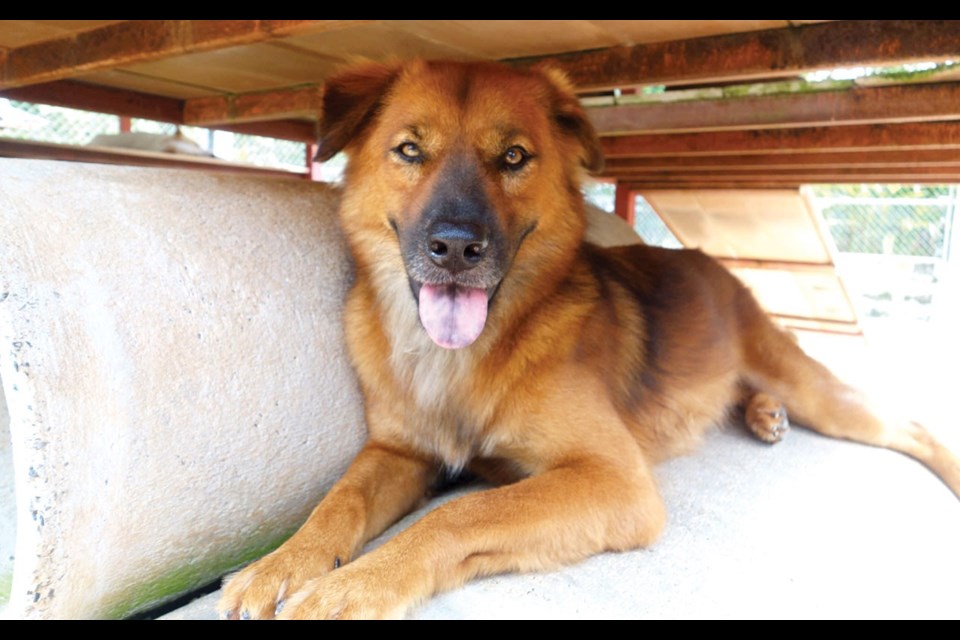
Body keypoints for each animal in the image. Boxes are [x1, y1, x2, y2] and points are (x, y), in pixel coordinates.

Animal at [218, 60, 960, 620]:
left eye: (513, 156)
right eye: (409, 151)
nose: (455, 248)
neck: (462, 358)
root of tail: (708, 263)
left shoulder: (613, 479)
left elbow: (461, 515)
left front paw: (351, 586)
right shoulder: (397, 452)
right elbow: (337, 500)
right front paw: (280, 563)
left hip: (819, 394)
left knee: (913, 425)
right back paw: (762, 415)